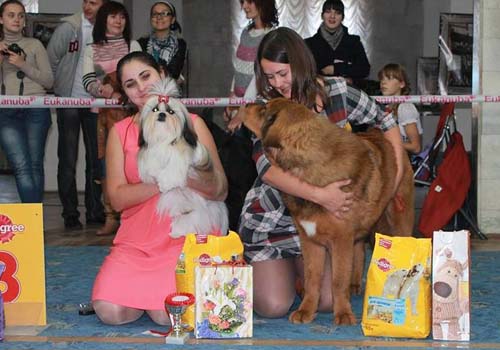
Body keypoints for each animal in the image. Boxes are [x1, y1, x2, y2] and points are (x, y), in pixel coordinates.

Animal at [138, 78, 229, 238]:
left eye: (171, 111)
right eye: (155, 109)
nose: (162, 114)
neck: (164, 138)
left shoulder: (182, 157)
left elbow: (174, 167)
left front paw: (165, 182)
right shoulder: (152, 151)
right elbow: (152, 162)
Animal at [242, 98, 414, 326]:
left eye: (264, 111)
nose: (244, 105)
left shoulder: (341, 239)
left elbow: (337, 280)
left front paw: (343, 314)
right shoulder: (310, 240)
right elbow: (312, 278)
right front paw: (306, 310)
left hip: (399, 220)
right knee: (359, 249)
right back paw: (354, 285)